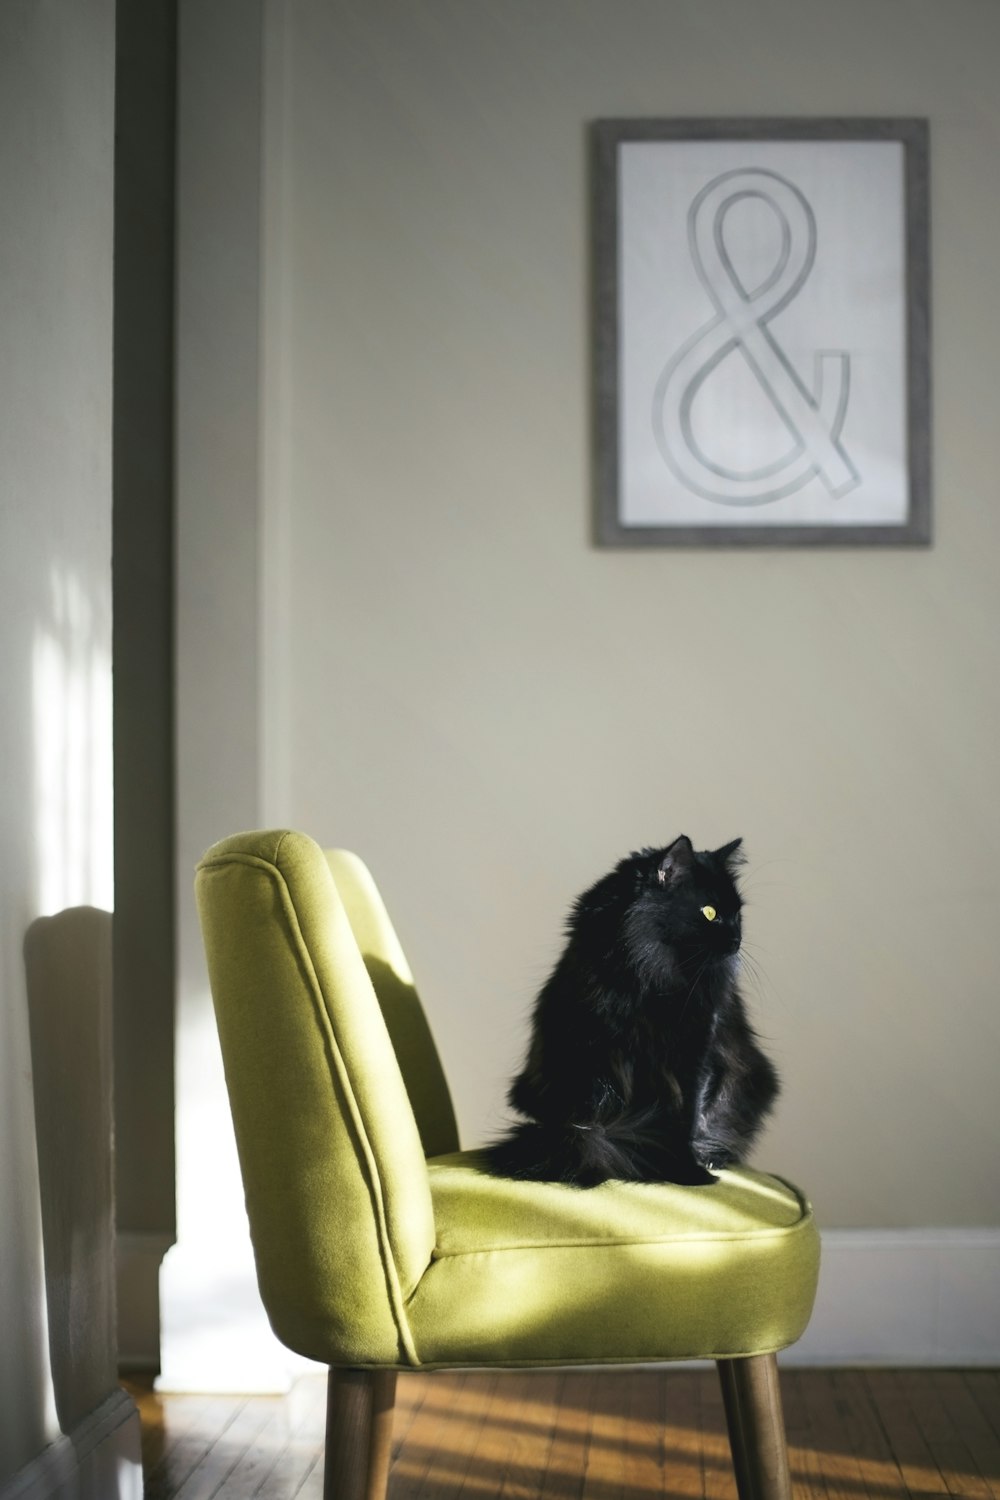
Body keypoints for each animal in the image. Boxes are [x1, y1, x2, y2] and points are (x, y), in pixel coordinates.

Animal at [488, 834, 779, 1182]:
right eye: (709, 912)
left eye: (738, 915)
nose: (737, 940)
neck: (654, 978)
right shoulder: (595, 1051)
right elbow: (596, 1113)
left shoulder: (695, 1053)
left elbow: (688, 1116)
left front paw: (688, 1168)